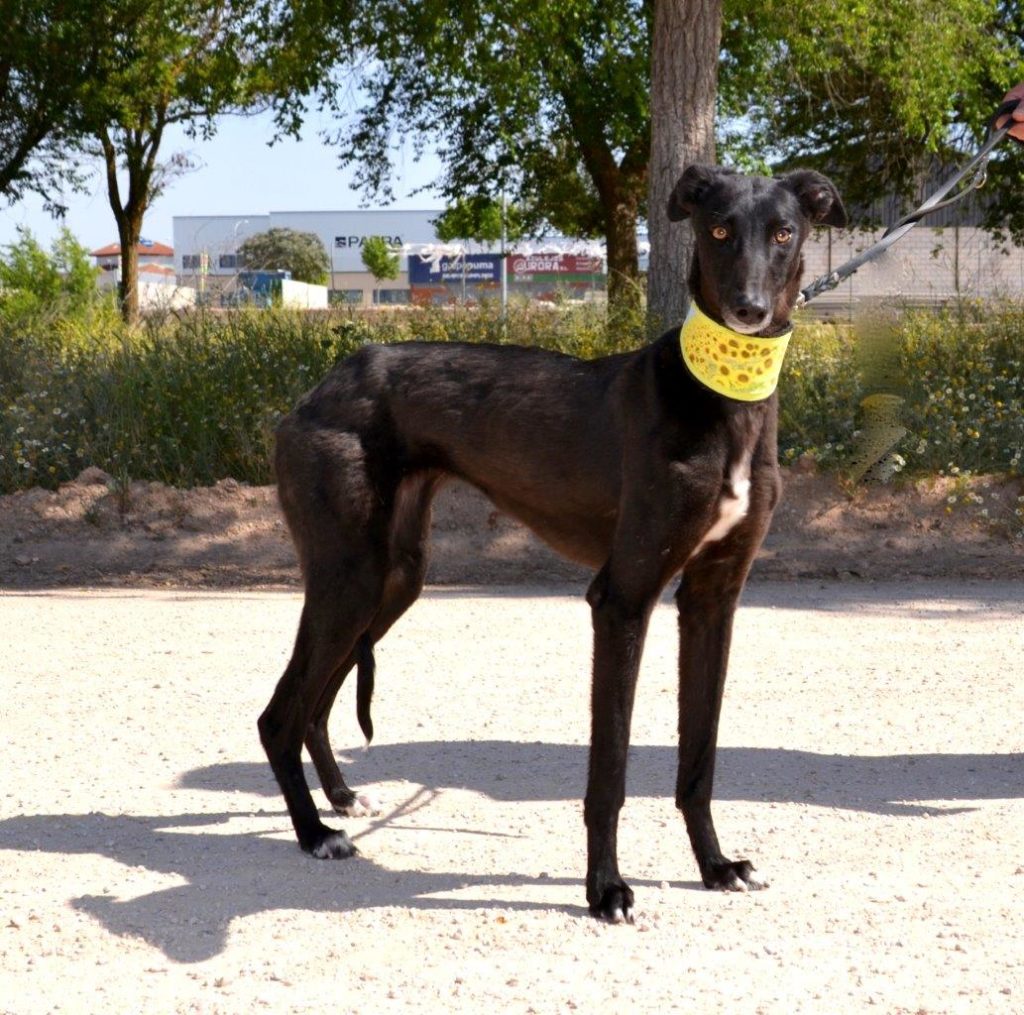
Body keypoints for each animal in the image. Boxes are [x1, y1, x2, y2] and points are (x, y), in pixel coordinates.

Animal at [258, 164, 847, 921]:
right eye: (718, 229)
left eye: (783, 232)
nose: (748, 309)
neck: (721, 393)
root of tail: (318, 389)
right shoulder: (621, 598)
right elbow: (610, 770)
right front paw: (606, 888)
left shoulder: (714, 598)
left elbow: (699, 759)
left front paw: (716, 865)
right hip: (349, 574)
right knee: (280, 713)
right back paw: (312, 831)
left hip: (393, 577)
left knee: (316, 701)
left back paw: (338, 798)